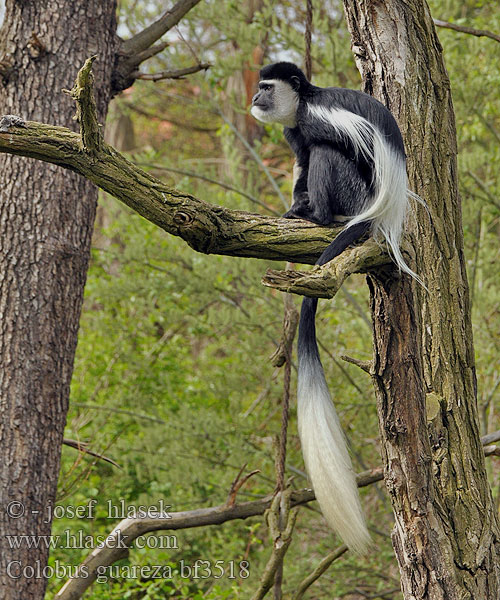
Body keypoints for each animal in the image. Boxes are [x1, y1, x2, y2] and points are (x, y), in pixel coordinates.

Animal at [250, 63, 418, 556]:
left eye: (266, 87)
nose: (255, 98)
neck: (303, 104)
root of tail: (384, 212)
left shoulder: (318, 121)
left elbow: (325, 152)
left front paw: (305, 210)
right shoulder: (294, 135)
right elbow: (302, 162)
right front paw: (293, 208)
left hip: (357, 193)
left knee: (330, 156)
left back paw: (323, 217)